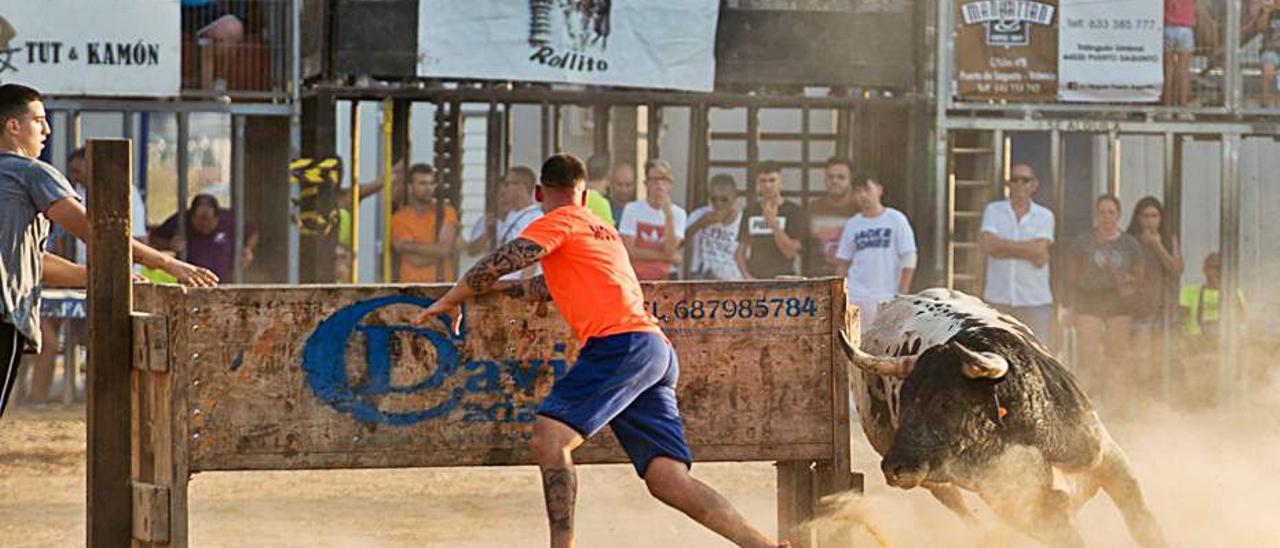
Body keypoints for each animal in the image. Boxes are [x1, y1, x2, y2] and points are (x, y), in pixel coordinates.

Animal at [839, 289, 1172, 545]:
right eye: (904, 400)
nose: (894, 466)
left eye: (946, 402)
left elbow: (1144, 524)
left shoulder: (1105, 456)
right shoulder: (1033, 512)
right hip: (934, 481)